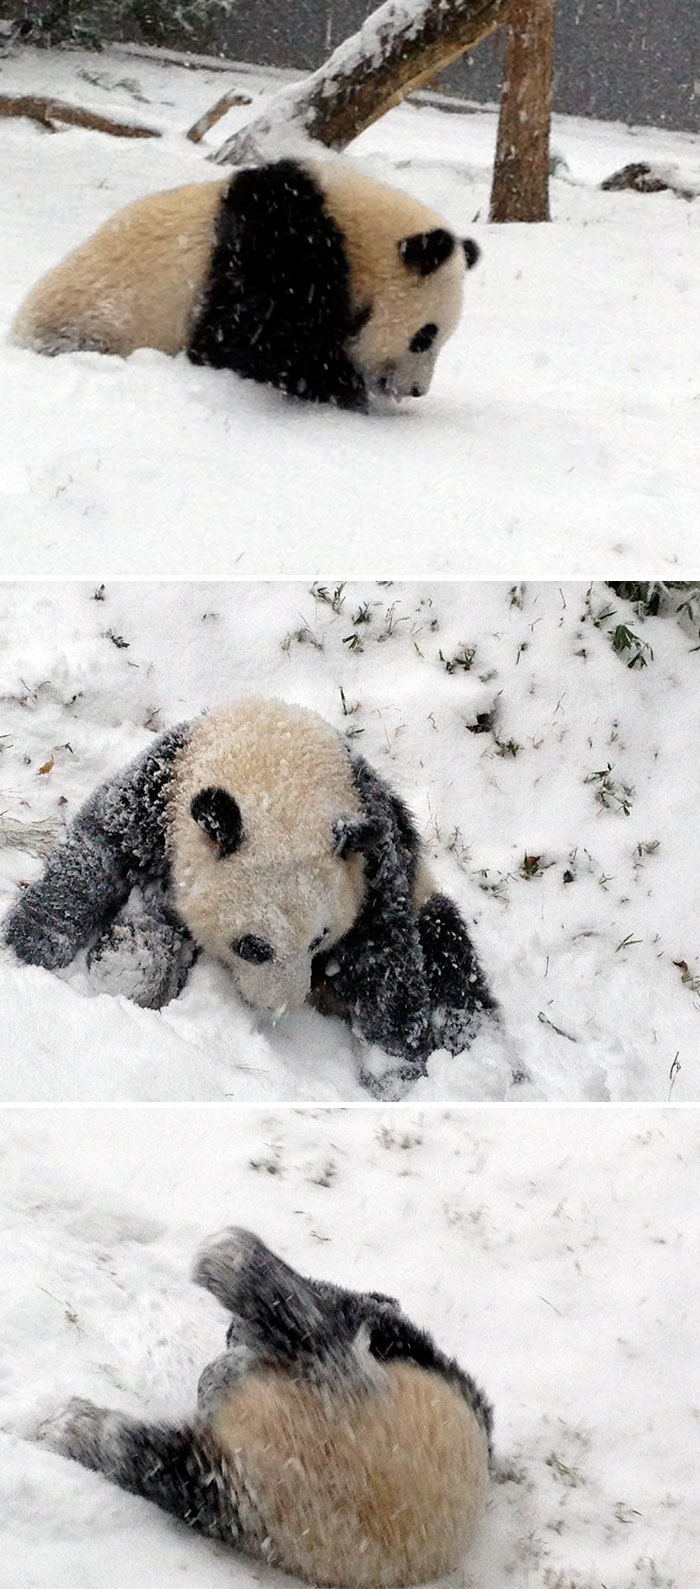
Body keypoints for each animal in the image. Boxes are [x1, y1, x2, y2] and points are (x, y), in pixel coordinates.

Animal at [3, 698, 495, 1082]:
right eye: (254, 947)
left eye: (319, 939)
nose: (281, 1005)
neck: (277, 772)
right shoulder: (161, 788)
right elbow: (96, 849)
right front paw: (29, 945)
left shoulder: (373, 859)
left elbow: (385, 957)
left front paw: (393, 1071)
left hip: (424, 895)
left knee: (450, 957)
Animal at [10, 157, 481, 409]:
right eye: (424, 336)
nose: (416, 391)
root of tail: (19, 331)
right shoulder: (278, 249)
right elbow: (252, 337)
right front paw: (339, 386)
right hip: (92, 321)